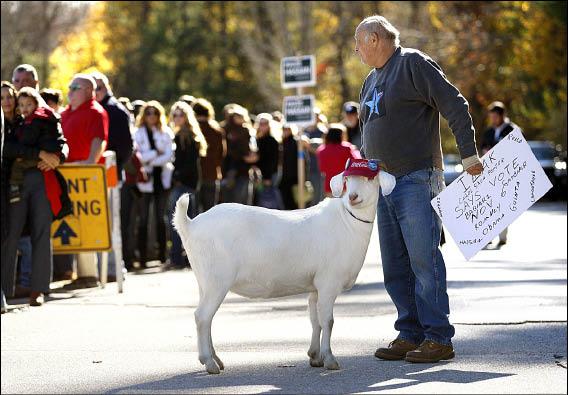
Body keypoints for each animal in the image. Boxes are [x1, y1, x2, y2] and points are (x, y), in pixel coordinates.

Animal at [172, 164, 394, 374]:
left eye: (369, 179)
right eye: (347, 180)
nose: (353, 197)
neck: (347, 222)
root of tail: (190, 225)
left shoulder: (315, 286)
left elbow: (315, 320)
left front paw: (315, 356)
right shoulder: (329, 282)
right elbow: (328, 321)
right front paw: (330, 359)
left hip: (205, 281)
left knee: (207, 318)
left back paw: (216, 359)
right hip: (217, 280)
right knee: (202, 316)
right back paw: (209, 363)